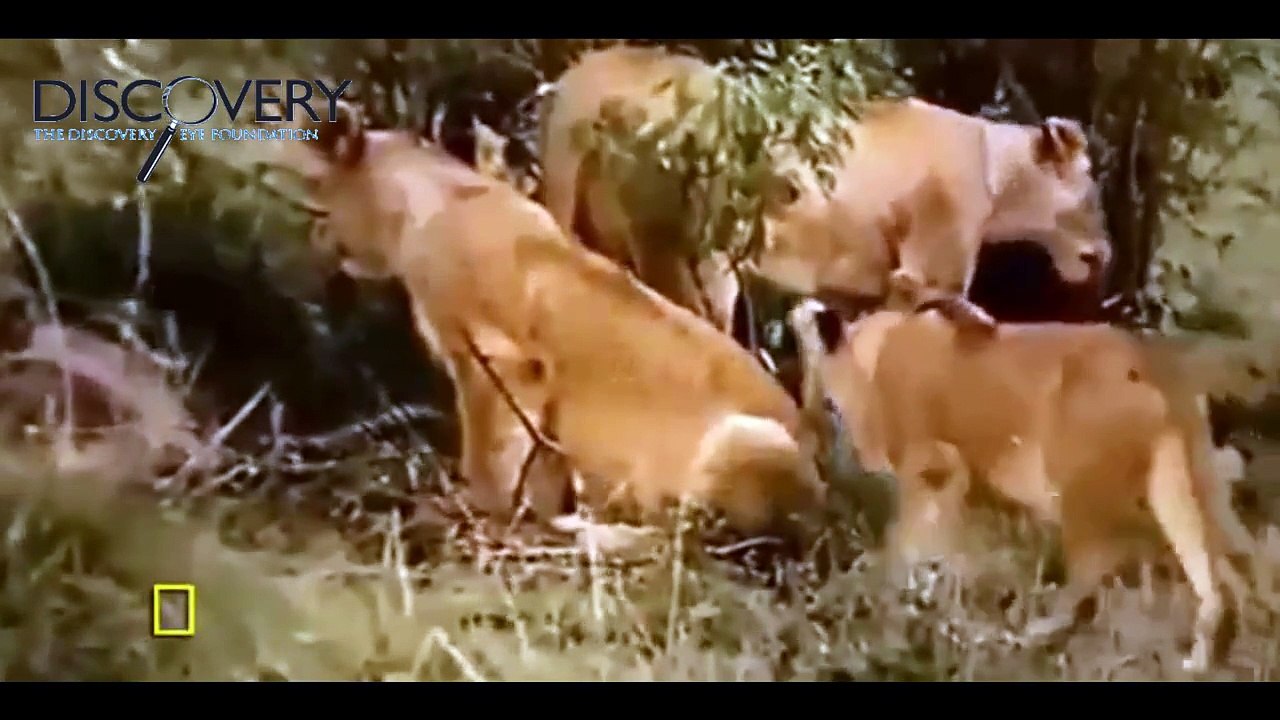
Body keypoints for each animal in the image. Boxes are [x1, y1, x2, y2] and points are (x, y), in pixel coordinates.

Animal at [276, 102, 826, 543]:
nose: (317, 240)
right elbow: (540, 460)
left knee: (695, 540)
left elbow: (485, 456)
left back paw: (599, 529)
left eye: (317, 192)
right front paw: (529, 514)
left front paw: (480, 513)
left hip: (749, 441)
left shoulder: (493, 359)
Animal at [541, 45, 1111, 338]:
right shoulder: (923, 275)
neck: (998, 168)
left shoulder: (859, 292)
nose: (1106, 254)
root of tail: (589, 82)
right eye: (1092, 191)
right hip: (695, 251)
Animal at [787, 298, 1264, 673]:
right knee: (1224, 574)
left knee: (1097, 568)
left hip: (1075, 487)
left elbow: (906, 543)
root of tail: (1153, 365)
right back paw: (1211, 652)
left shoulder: (936, 468)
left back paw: (1033, 633)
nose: (816, 431)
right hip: (1183, 487)